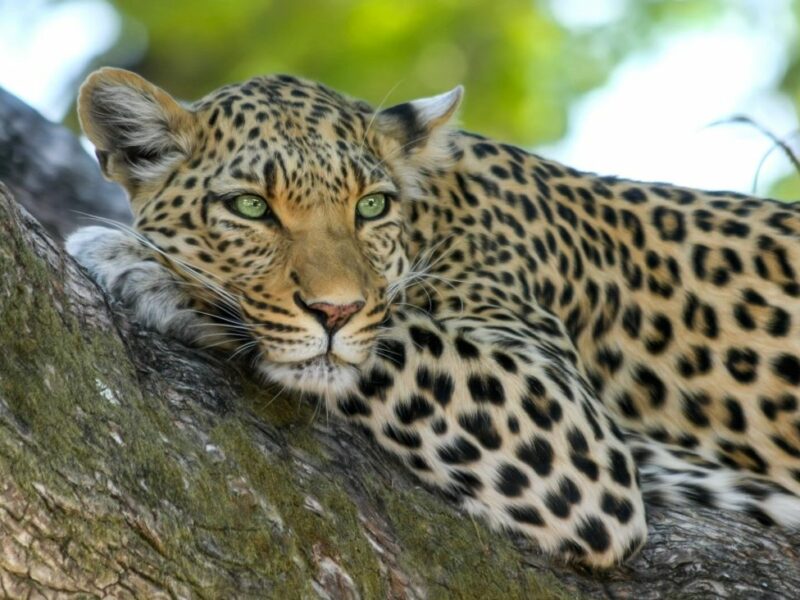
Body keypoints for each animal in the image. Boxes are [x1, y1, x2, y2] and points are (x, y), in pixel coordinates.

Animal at [66, 67, 800, 568]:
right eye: (250, 208)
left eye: (371, 206)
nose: (335, 310)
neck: (434, 216)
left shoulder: (573, 433)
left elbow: (391, 338)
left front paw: (143, 265)